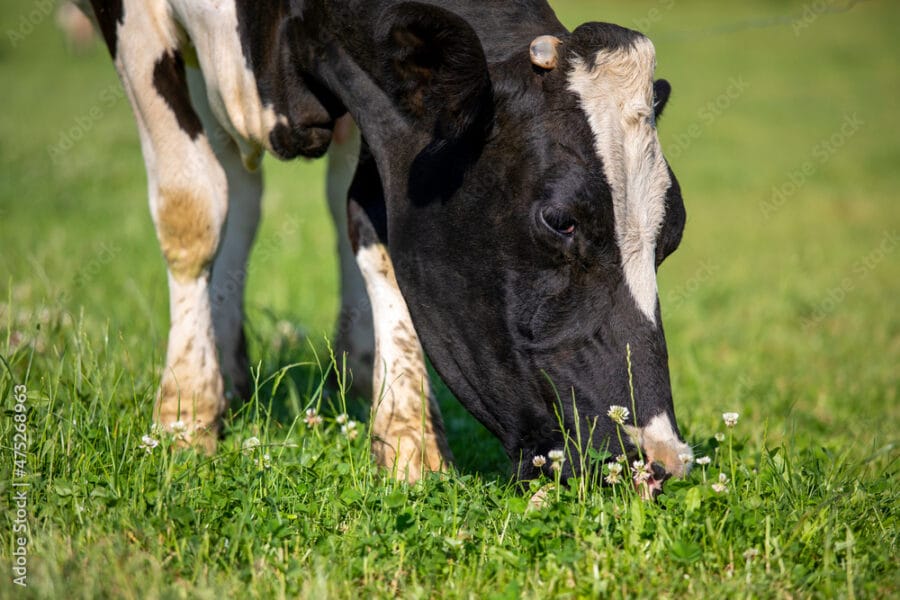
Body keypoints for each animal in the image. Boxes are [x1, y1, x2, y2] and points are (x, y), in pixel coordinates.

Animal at [84, 0, 692, 492]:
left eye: (674, 233)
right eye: (560, 220)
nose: (659, 459)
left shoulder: (387, 116)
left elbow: (373, 229)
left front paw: (408, 442)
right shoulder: (133, 22)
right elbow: (190, 207)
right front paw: (183, 416)